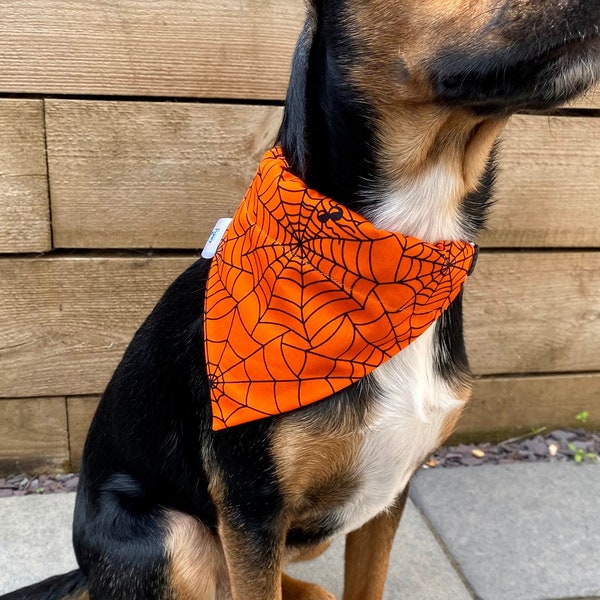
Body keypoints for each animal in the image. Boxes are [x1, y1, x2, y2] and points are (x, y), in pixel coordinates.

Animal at [4, 1, 600, 600]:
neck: (398, 251)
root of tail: (86, 570)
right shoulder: (251, 508)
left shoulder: (389, 490)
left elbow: (367, 585)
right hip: (175, 537)